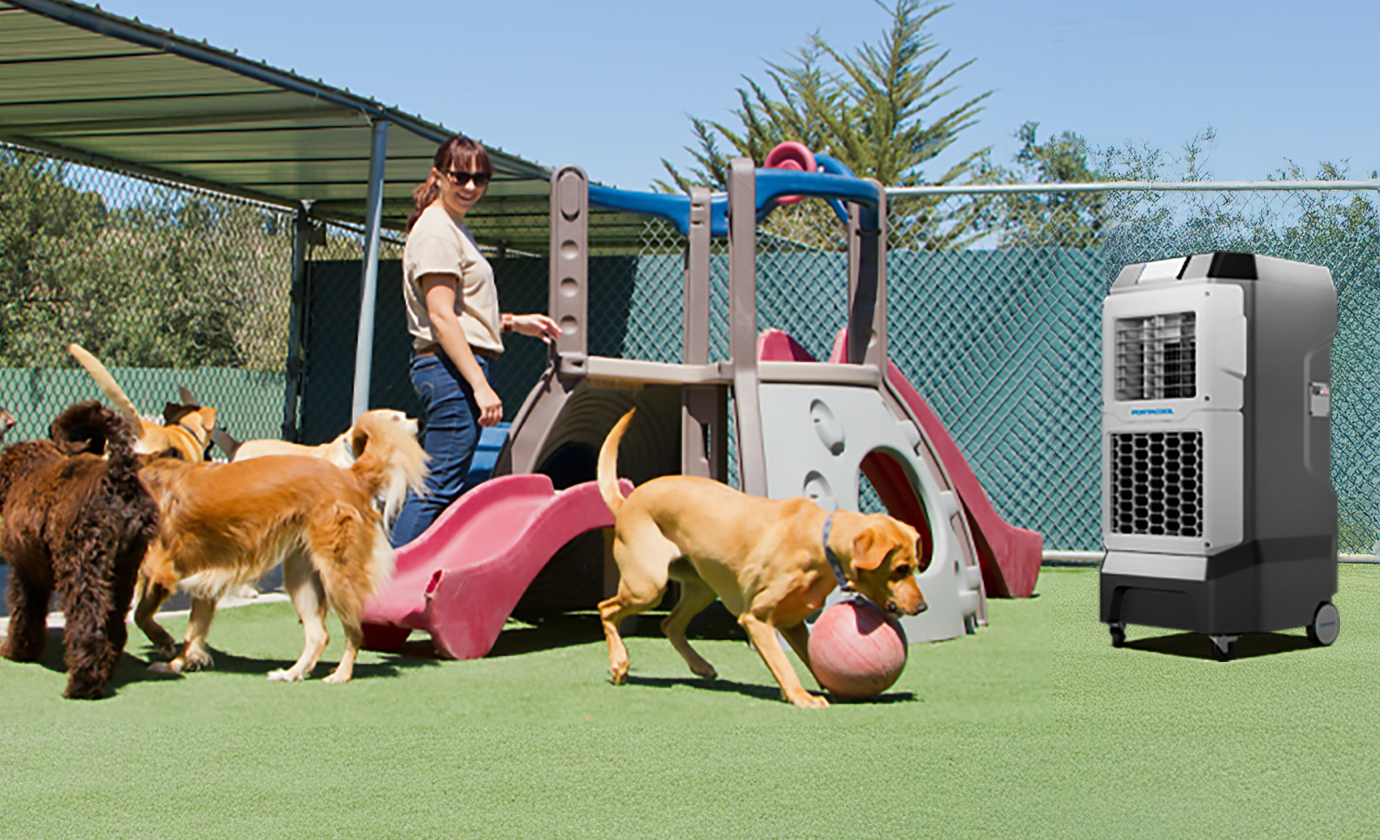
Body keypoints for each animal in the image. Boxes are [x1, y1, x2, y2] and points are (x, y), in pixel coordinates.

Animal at [593, 408, 927, 706]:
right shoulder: (757, 618)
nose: (923, 607)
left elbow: (809, 657)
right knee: (606, 609)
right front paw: (802, 697)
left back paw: (700, 666)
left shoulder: (793, 621)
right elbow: (783, 663)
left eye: (914, 567)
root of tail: (626, 503)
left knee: (670, 624)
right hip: (648, 585)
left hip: (701, 588)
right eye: (900, 569)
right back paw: (619, 663)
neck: (819, 541)